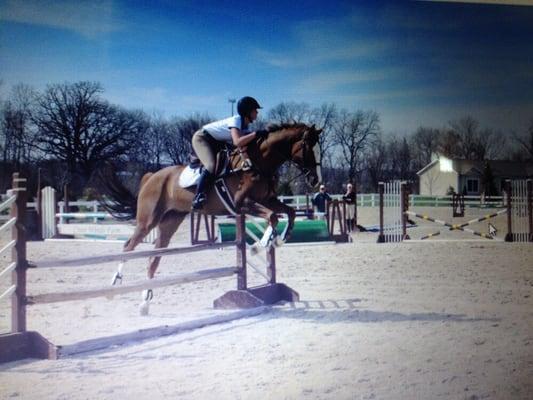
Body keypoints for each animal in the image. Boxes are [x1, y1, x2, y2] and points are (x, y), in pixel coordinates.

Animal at [103, 122, 320, 282]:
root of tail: (151, 177)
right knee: (128, 246)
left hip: (171, 220)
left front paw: (281, 239)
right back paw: (116, 279)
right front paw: (260, 245)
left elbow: (289, 212)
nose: (314, 180)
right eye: (308, 147)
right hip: (148, 220)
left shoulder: (267, 199)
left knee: (155, 254)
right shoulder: (242, 203)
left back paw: (146, 298)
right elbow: (273, 217)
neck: (257, 162)